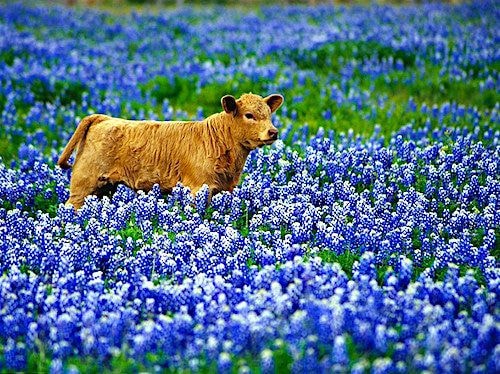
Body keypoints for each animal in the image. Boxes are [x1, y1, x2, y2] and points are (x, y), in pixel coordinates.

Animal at [56, 92, 284, 209]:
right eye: (249, 115)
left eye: (268, 114)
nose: (273, 132)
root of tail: (101, 118)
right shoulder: (198, 187)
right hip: (84, 184)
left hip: (103, 188)